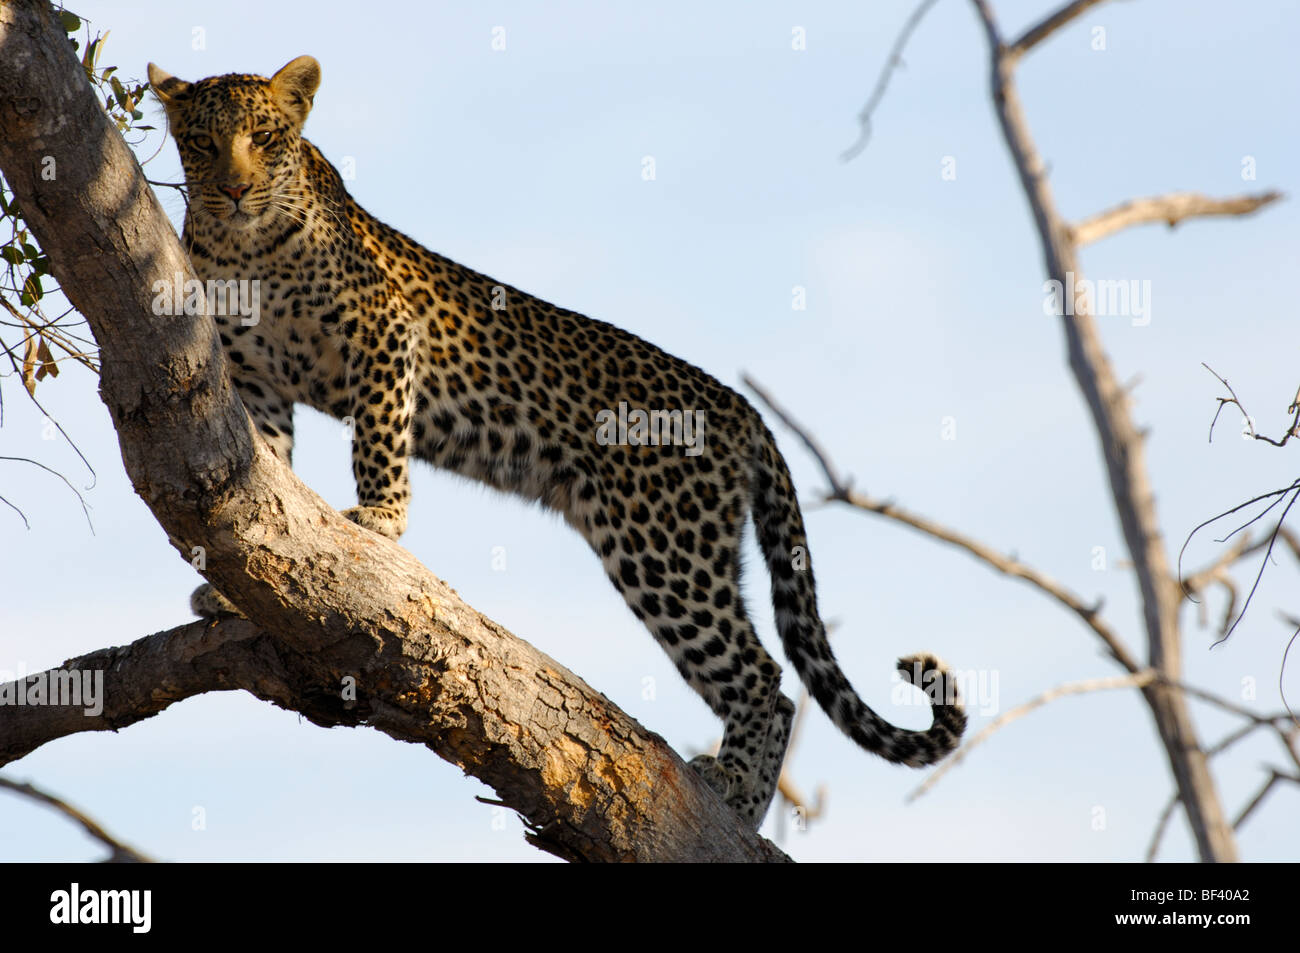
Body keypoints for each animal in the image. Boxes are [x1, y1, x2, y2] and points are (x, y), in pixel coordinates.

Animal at [152, 55, 967, 826]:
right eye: (203, 143)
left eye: (264, 136)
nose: (233, 190)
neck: (246, 246)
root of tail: (740, 409)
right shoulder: (256, 380)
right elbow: (268, 469)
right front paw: (239, 585)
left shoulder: (383, 329)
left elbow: (377, 435)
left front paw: (380, 518)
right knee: (774, 683)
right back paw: (744, 805)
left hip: (664, 548)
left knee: (764, 678)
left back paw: (731, 785)